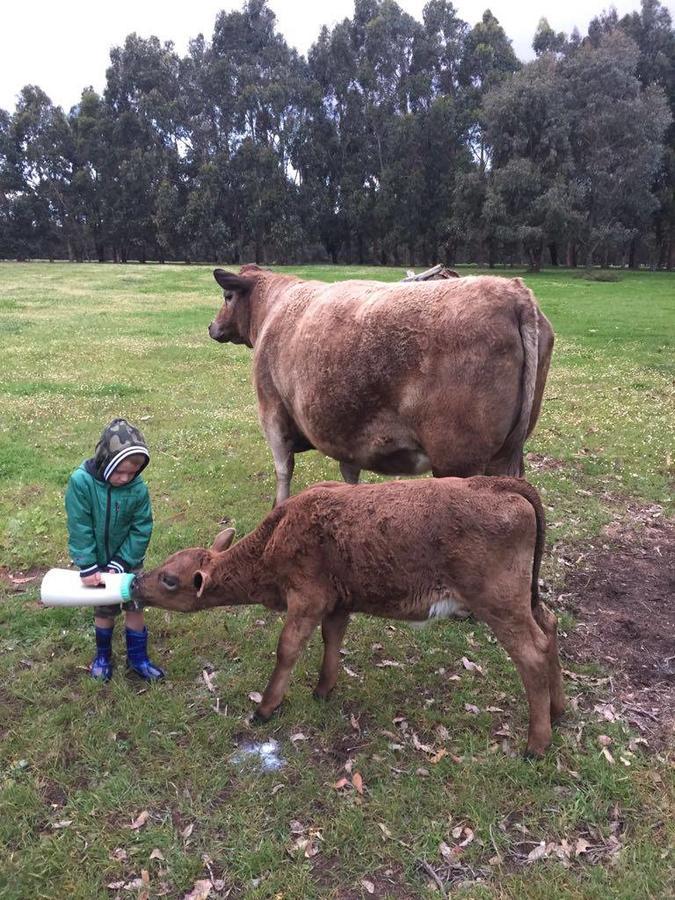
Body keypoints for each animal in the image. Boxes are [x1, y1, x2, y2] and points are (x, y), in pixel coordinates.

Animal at [133, 474, 564, 756]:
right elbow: (332, 638)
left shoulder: (306, 598)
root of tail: (499, 483)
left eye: (170, 580)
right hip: (525, 596)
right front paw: (324, 690)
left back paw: (536, 743)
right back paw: (557, 710)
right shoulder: (337, 601)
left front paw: (266, 708)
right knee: (550, 627)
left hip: (499, 601)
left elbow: (287, 649)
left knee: (532, 652)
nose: (136, 582)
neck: (275, 537)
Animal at [211, 268, 556, 506]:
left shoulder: (272, 411)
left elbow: (283, 471)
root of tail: (512, 290)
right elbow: (349, 474)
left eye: (227, 297)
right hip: (504, 455)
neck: (274, 308)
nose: (212, 327)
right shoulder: (345, 432)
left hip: (459, 461)